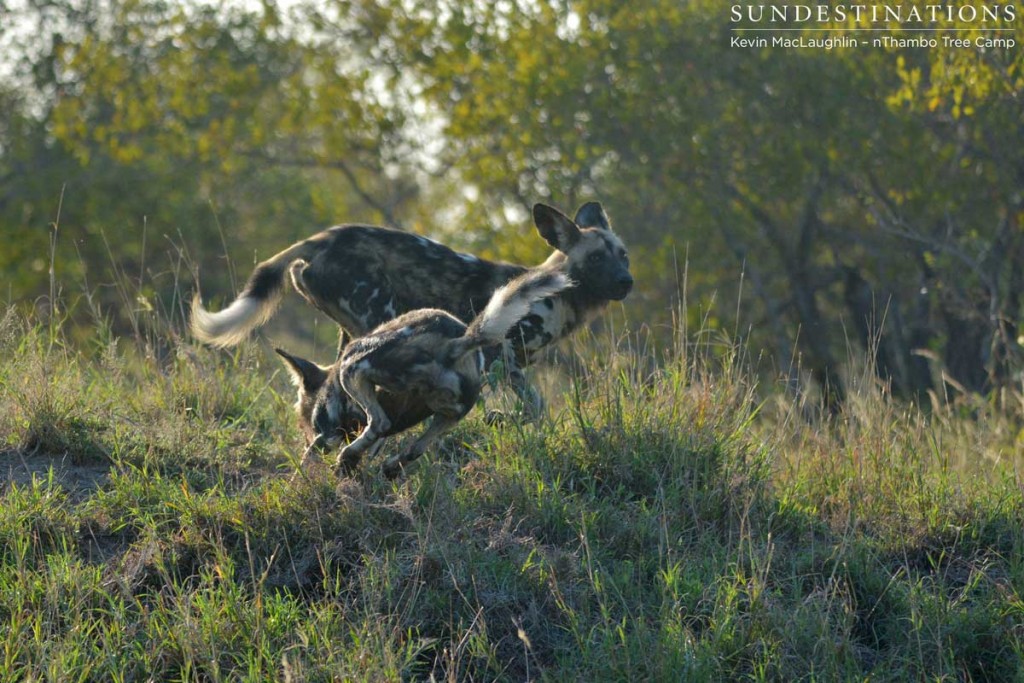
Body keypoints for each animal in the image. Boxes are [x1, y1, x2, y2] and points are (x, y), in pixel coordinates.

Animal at [192, 201, 630, 417]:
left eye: (623, 255)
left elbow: (531, 408)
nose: (627, 282)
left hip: (354, 328)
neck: (560, 295)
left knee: (326, 382)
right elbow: (533, 407)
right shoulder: (500, 353)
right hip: (378, 317)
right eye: (595, 259)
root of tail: (324, 238)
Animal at [276, 270, 573, 479]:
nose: (305, 431)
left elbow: (310, 455)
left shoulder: (329, 433)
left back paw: (346, 461)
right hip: (450, 414)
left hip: (355, 363)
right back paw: (386, 468)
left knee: (379, 423)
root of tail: (454, 346)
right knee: (414, 449)